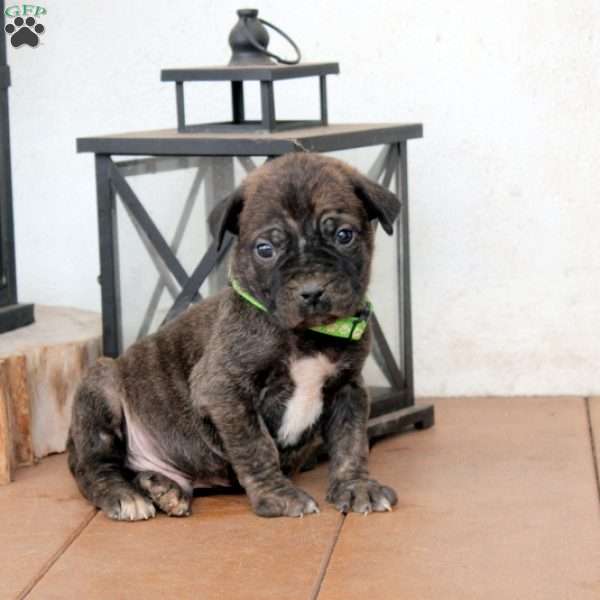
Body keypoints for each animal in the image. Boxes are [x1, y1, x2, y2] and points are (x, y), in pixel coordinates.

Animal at [68, 151, 400, 520]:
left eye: (344, 236)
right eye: (265, 249)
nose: (312, 291)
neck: (307, 335)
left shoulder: (348, 389)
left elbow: (351, 443)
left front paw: (356, 487)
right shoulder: (225, 389)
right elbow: (256, 446)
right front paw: (278, 496)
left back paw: (162, 487)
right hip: (102, 386)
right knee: (94, 466)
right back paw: (125, 495)